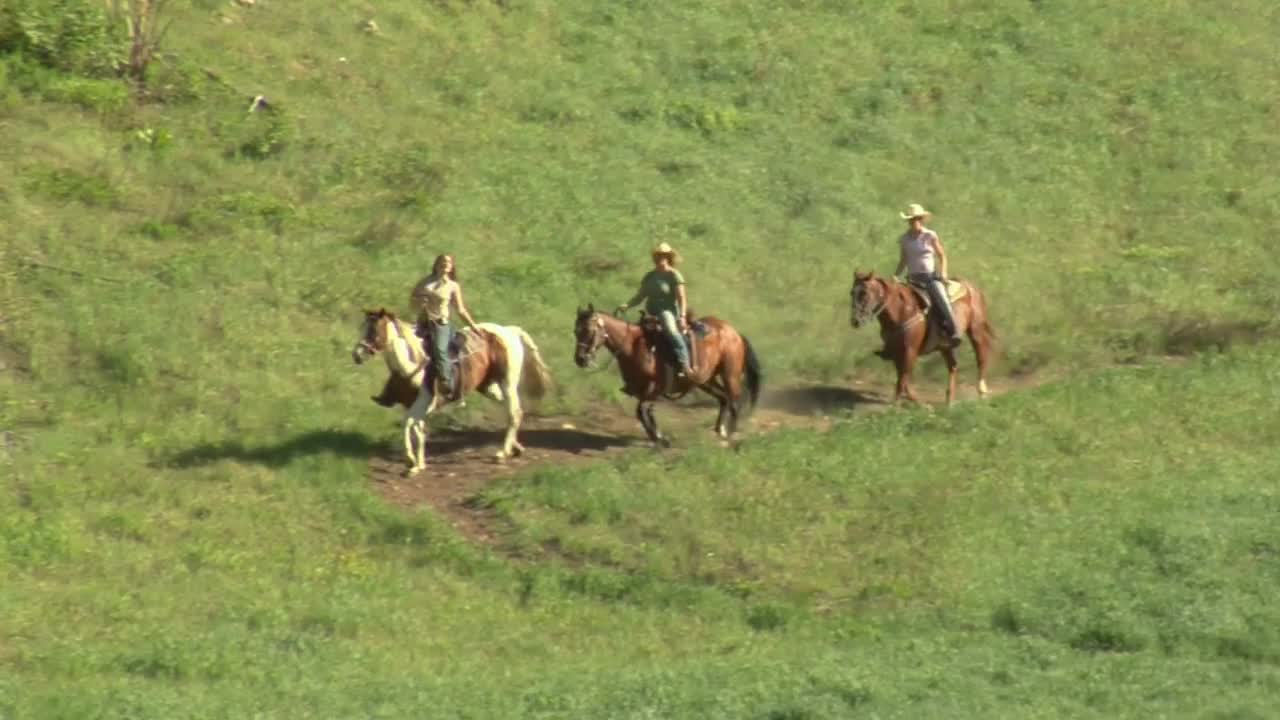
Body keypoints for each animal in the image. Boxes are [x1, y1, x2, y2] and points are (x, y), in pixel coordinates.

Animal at [350, 307, 550, 471]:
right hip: (488, 387)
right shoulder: (413, 405)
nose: (356, 355)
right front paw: (419, 464)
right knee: (510, 410)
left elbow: (409, 424)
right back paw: (516, 448)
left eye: (373, 330)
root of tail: (509, 330)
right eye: (361, 328)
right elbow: (417, 429)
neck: (412, 363)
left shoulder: (423, 403)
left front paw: (411, 461)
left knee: (514, 411)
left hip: (507, 382)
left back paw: (502, 453)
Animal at [576, 304, 762, 445]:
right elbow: (646, 412)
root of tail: (734, 333)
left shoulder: (654, 388)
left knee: (734, 401)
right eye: (576, 331)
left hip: (730, 375)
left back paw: (731, 433)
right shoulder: (645, 391)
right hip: (705, 380)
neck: (634, 347)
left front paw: (659, 438)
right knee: (723, 398)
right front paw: (659, 436)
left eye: (589, 330)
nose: (580, 359)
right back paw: (720, 430)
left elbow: (641, 410)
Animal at [855, 269, 993, 404]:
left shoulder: (910, 351)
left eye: (864, 293)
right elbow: (903, 379)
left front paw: (898, 405)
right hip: (946, 345)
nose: (855, 321)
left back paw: (982, 391)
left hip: (976, 330)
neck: (903, 311)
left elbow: (903, 379)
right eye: (852, 293)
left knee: (981, 355)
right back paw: (950, 400)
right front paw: (915, 401)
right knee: (953, 365)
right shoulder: (896, 353)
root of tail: (971, 287)